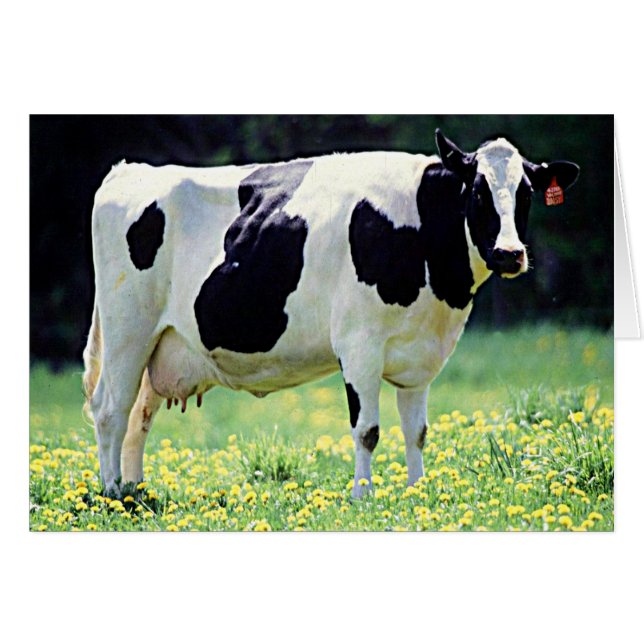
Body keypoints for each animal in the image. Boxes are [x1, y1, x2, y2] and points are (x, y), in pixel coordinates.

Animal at [82, 129, 579, 499]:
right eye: (477, 192)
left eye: (527, 193)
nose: (509, 254)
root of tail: (129, 171)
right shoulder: (359, 345)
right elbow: (368, 430)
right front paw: (363, 496)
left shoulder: (420, 355)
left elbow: (416, 431)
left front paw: (418, 492)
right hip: (128, 330)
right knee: (111, 409)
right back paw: (113, 494)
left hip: (160, 344)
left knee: (139, 417)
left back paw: (137, 491)